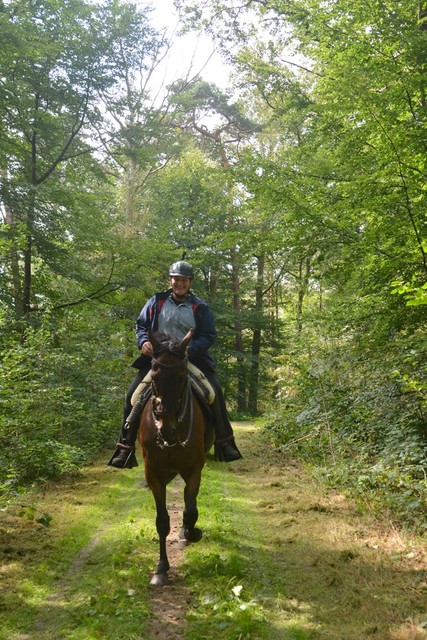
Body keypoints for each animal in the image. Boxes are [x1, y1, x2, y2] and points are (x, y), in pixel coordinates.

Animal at [139, 330, 216, 584]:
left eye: (183, 377)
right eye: (154, 376)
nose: (168, 430)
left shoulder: (194, 469)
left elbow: (191, 511)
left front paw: (193, 533)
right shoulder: (154, 474)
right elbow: (162, 521)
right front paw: (161, 568)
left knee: (187, 500)